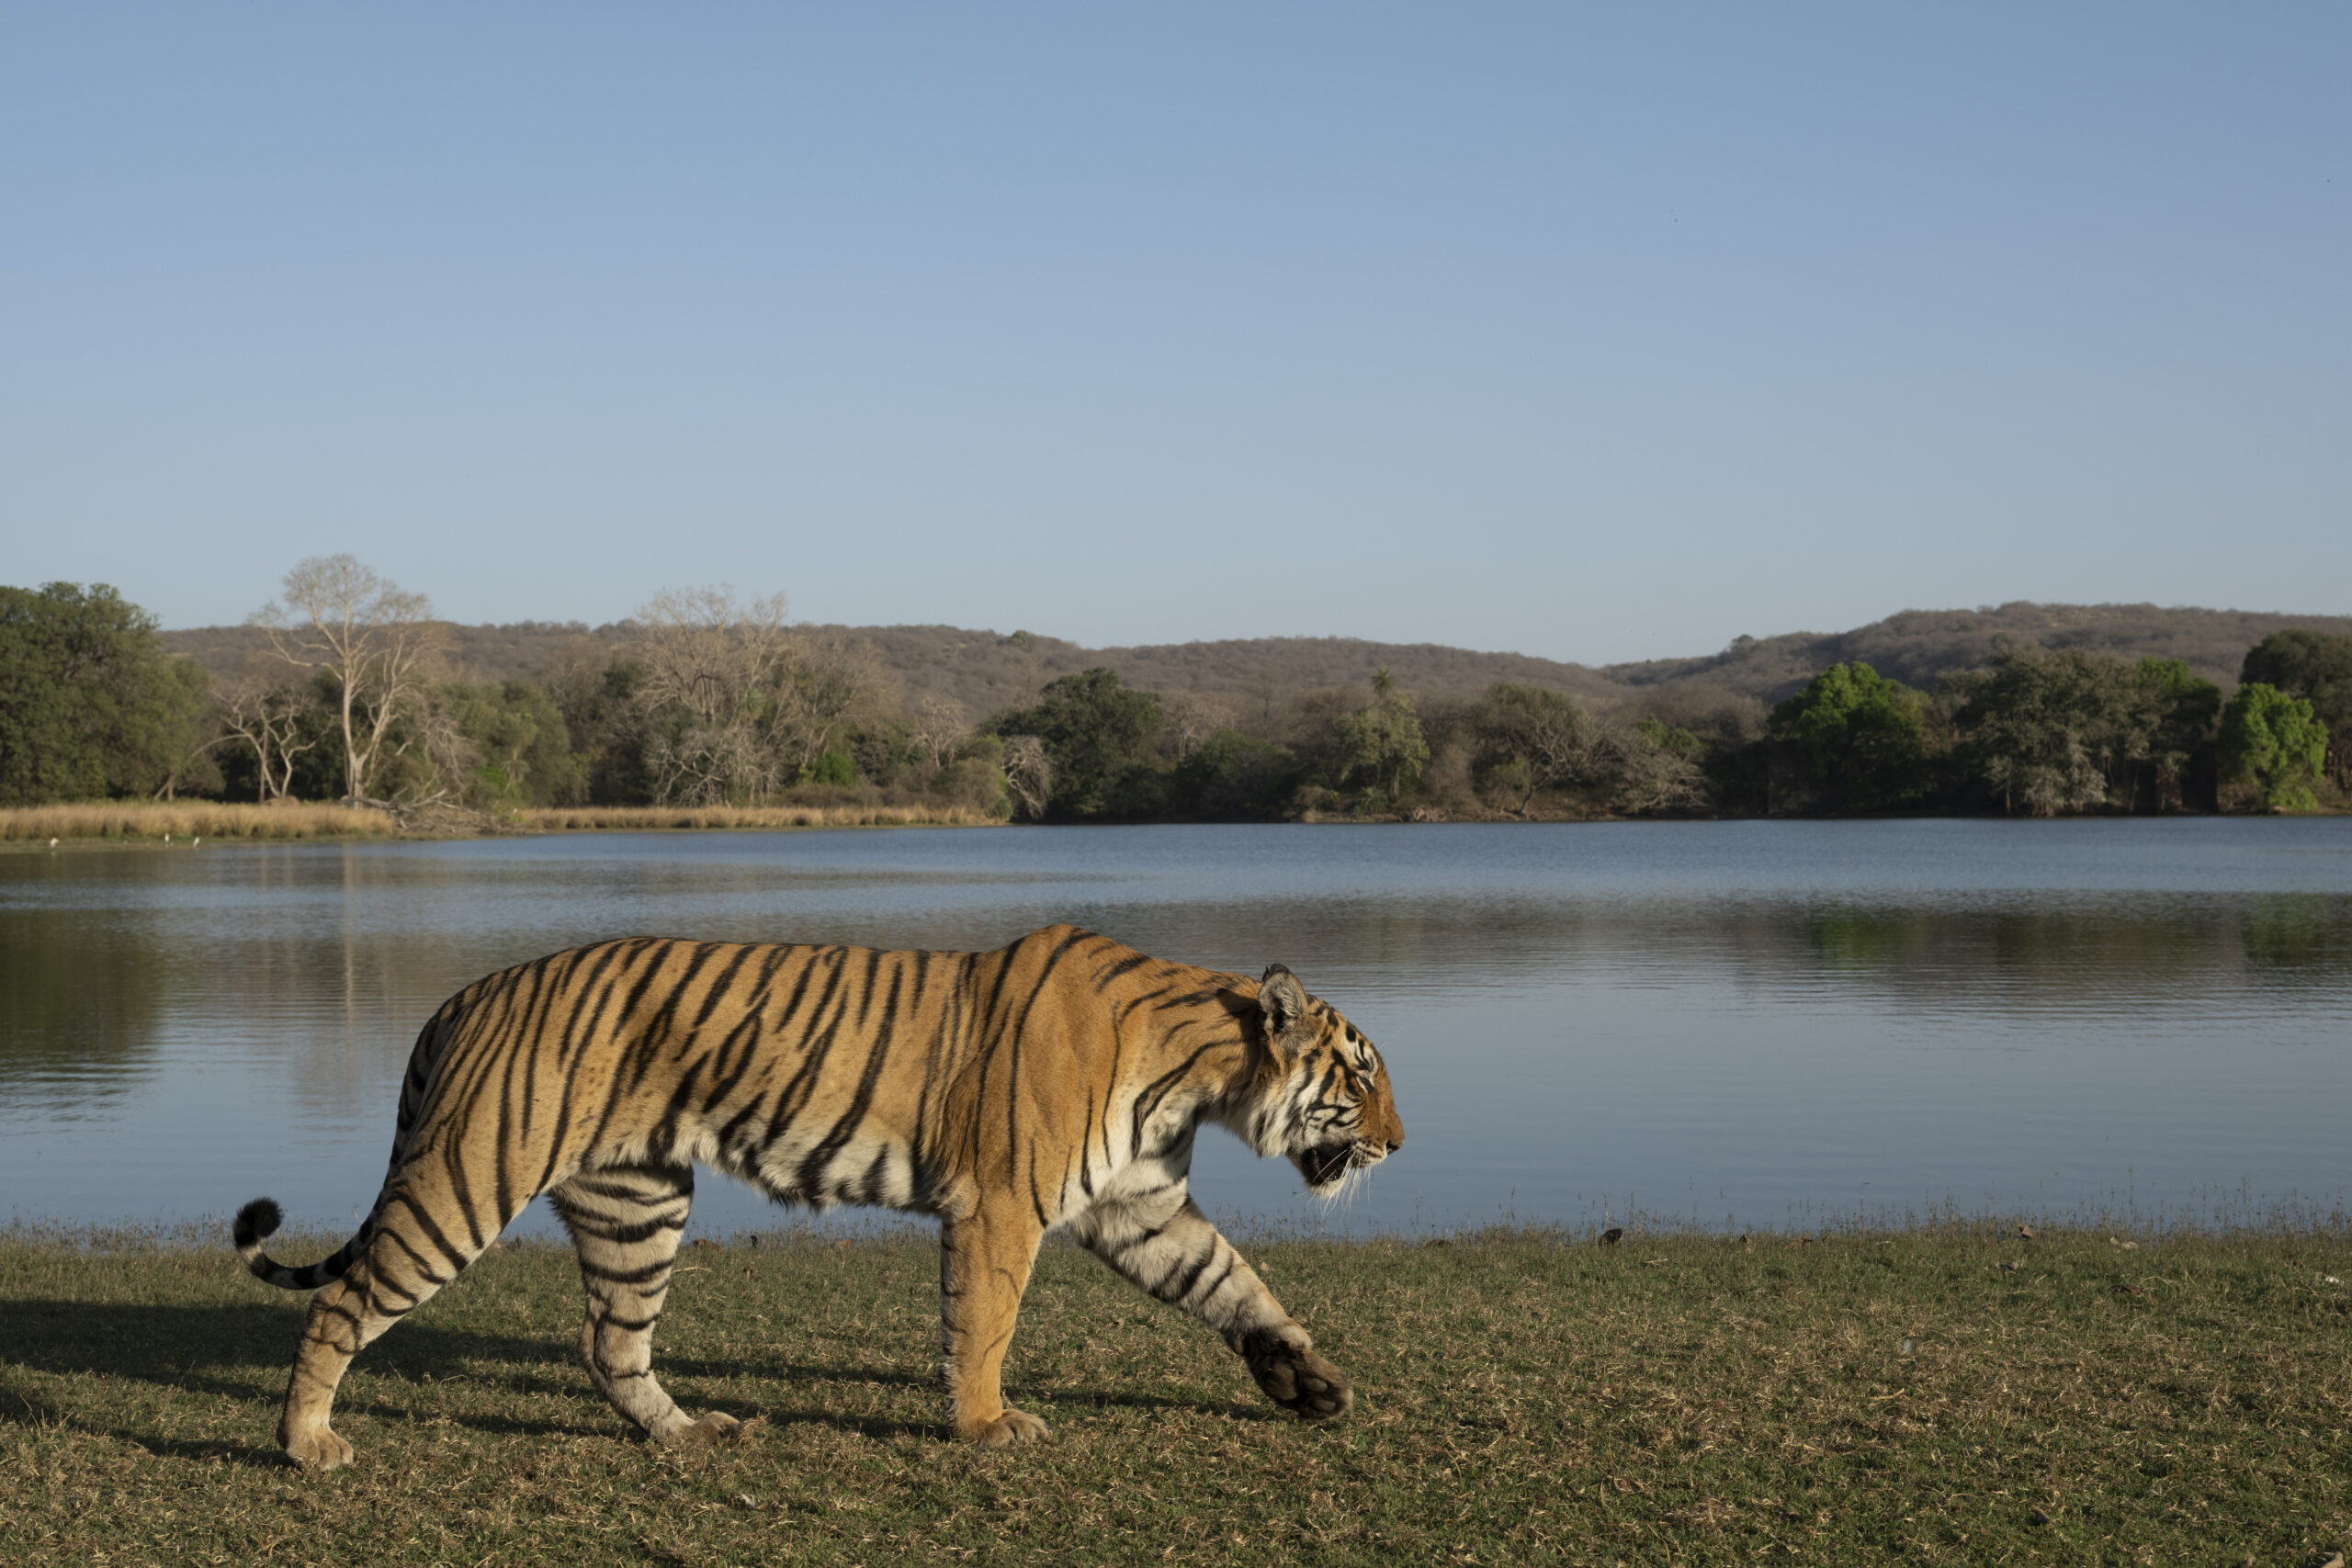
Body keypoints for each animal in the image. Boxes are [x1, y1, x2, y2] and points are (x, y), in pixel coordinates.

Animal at [233, 923, 1404, 1470]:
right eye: (1360, 1078)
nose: (1397, 1144)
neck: (1198, 1076)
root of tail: (465, 993)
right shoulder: (1004, 1205)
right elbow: (985, 1326)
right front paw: (985, 1426)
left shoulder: (1137, 1204)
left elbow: (1233, 1284)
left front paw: (1311, 1383)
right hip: (468, 1182)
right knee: (343, 1302)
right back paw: (306, 1443)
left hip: (637, 1205)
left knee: (610, 1343)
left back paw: (687, 1433)